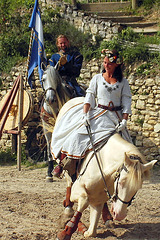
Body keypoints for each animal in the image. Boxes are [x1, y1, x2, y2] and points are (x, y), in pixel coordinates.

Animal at [54, 97, 158, 240]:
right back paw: (68, 212)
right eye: (121, 182)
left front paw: (85, 228)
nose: (120, 214)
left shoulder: (99, 198)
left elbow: (92, 231)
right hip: (67, 170)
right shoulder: (79, 189)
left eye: (137, 188)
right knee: (69, 183)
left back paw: (107, 218)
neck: (103, 165)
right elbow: (83, 201)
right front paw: (67, 230)